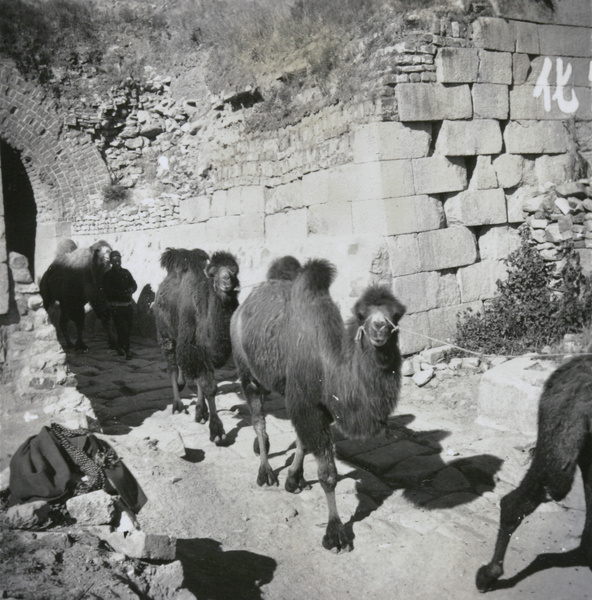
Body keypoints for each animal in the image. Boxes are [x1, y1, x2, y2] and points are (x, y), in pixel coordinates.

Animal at [153, 246, 240, 442]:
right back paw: (177, 405)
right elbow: (209, 387)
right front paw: (217, 431)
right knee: (172, 366)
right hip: (164, 333)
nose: (227, 280)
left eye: (234, 270)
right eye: (213, 272)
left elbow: (204, 383)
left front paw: (201, 412)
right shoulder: (194, 348)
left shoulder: (204, 352)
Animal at [230, 255, 408, 552]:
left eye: (396, 314)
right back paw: (265, 472)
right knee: (258, 420)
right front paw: (335, 532)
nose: (379, 328)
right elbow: (327, 473)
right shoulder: (308, 403)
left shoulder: (312, 404)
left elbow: (303, 441)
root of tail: (242, 307)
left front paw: (295, 479)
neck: (329, 364)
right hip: (247, 371)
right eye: (361, 314)